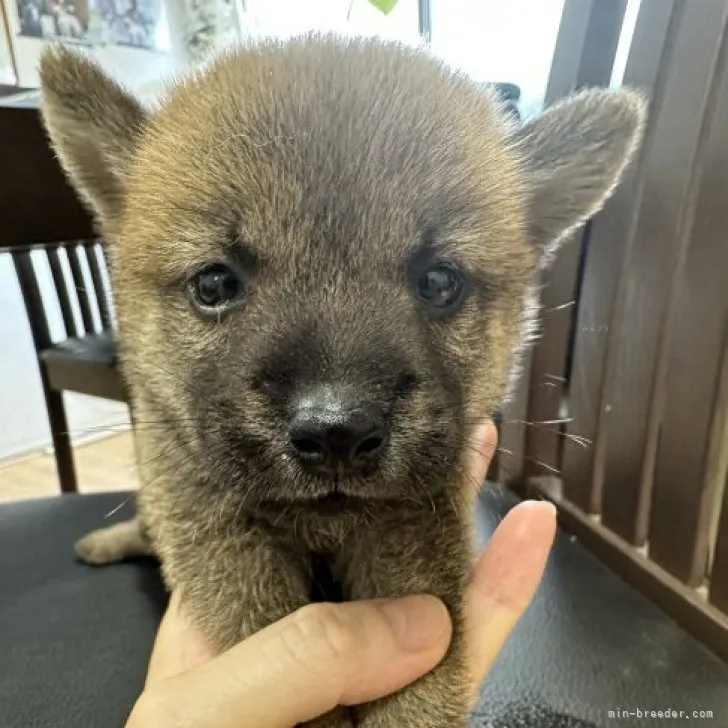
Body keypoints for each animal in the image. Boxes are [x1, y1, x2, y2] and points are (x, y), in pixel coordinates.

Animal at [39, 35, 644, 728]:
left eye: (440, 282)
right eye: (214, 284)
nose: (336, 433)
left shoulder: (412, 530)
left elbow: (420, 694)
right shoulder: (216, 527)